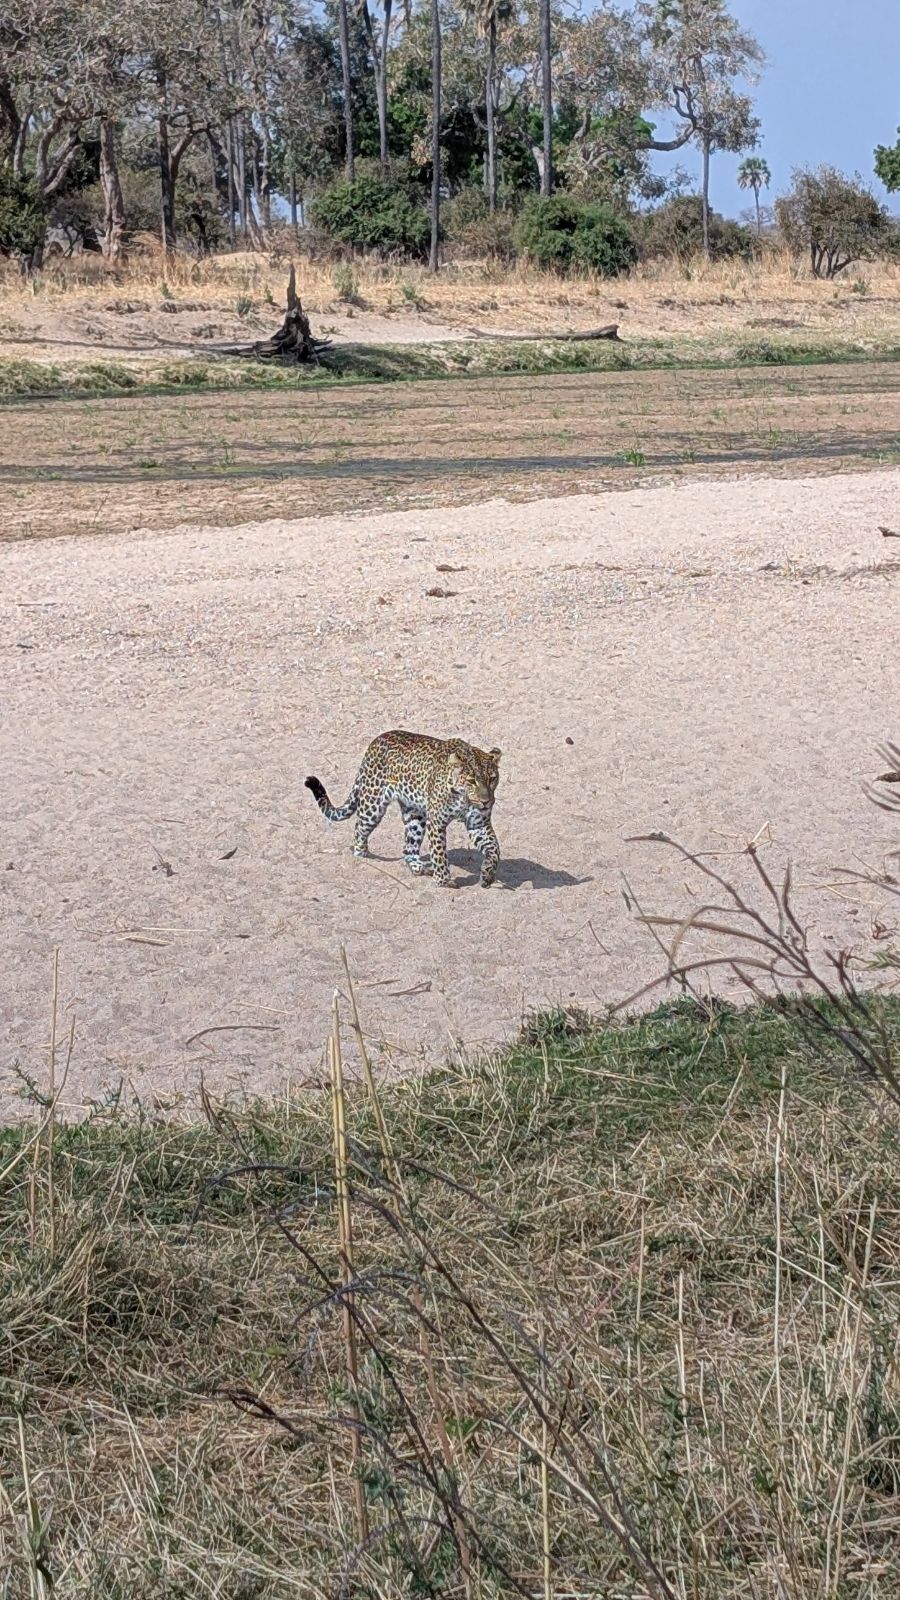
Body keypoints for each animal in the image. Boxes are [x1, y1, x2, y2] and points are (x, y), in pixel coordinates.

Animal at [305, 730, 502, 888]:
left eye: (492, 779)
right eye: (471, 781)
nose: (486, 801)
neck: (464, 799)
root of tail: (375, 742)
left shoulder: (479, 824)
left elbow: (494, 849)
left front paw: (487, 875)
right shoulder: (437, 823)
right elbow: (439, 853)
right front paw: (444, 881)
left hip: (415, 815)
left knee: (408, 847)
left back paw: (418, 867)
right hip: (373, 806)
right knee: (359, 828)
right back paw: (361, 854)